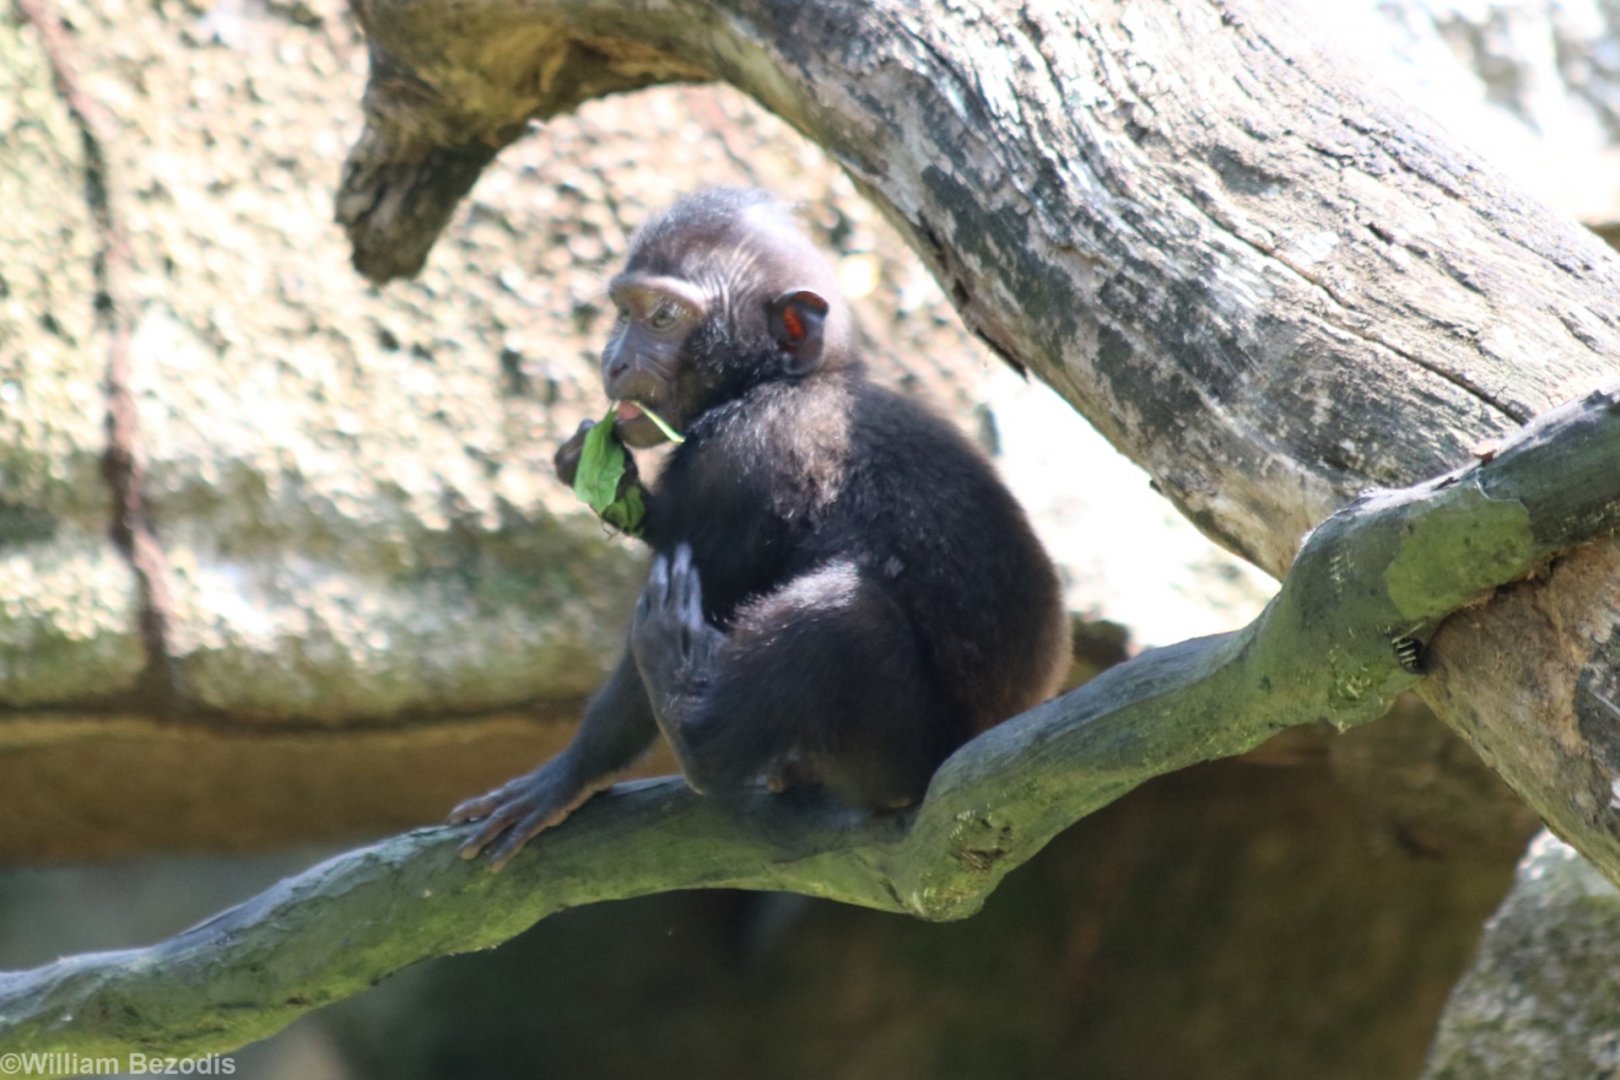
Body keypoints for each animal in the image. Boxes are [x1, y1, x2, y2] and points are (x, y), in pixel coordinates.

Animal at [451, 187, 1070, 870]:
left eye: (663, 316)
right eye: (623, 311)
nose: (615, 360)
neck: (778, 382)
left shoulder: (741, 458)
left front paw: (570, 773)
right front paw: (600, 475)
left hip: (899, 763)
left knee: (840, 616)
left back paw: (690, 716)